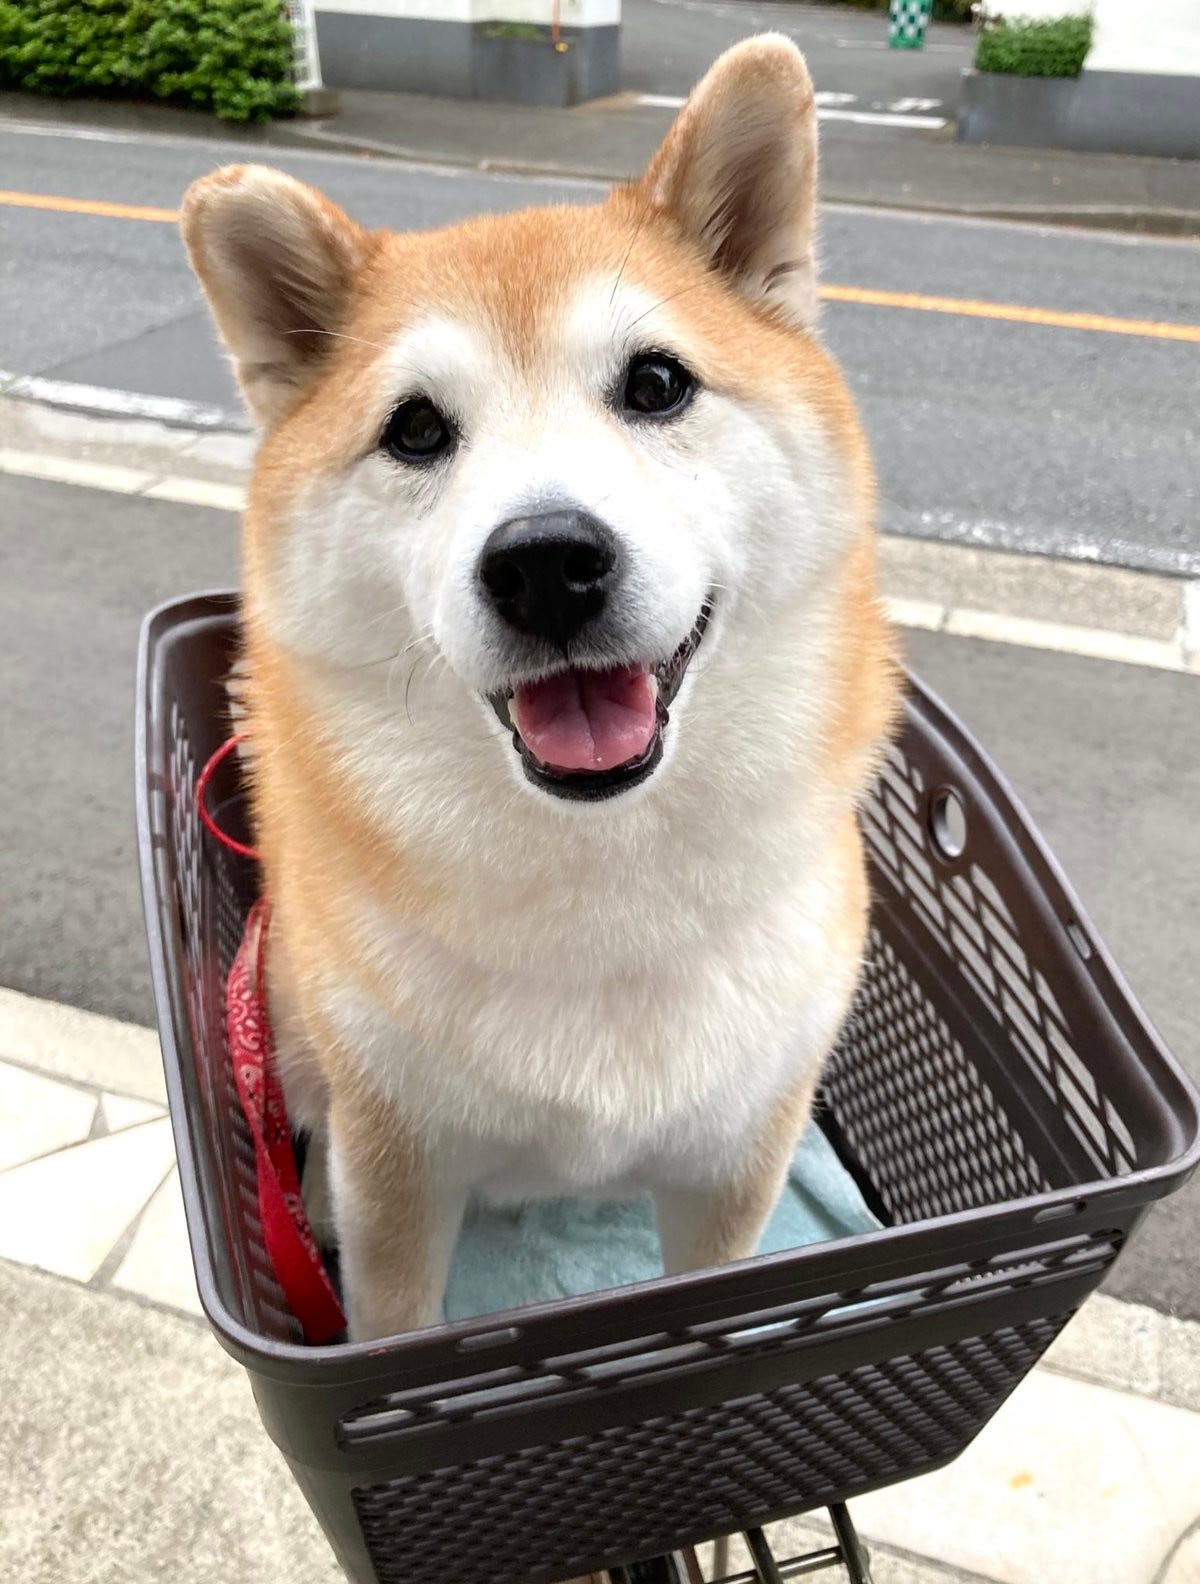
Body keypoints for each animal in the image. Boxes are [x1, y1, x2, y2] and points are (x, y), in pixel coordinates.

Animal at [183, 30, 899, 1343]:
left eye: (657, 384)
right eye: (416, 431)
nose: (545, 561)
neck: (602, 874)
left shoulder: (740, 1149)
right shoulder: (395, 1160)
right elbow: (393, 1318)